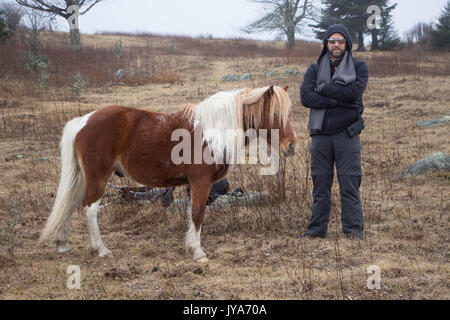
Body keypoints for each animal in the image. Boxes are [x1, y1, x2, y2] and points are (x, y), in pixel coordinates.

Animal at [39, 85, 298, 262]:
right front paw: (198, 253)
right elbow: (198, 214)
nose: (291, 146)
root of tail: (84, 120)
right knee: (90, 209)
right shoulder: (201, 182)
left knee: (71, 204)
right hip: (98, 177)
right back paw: (101, 249)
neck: (212, 131)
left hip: (84, 178)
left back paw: (62, 243)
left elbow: (193, 214)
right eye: (275, 115)